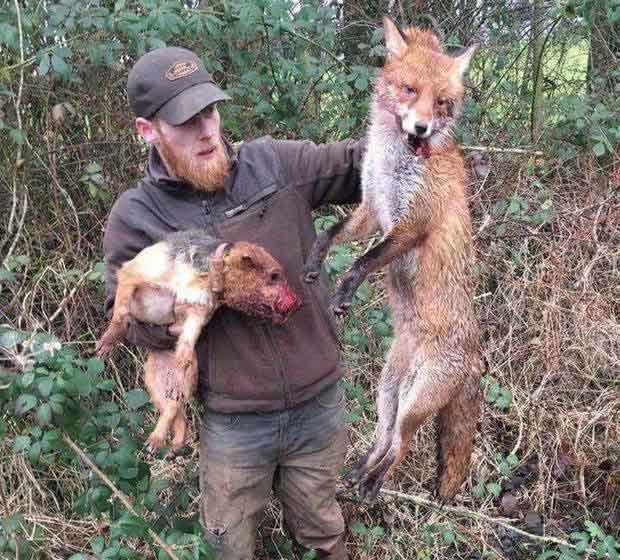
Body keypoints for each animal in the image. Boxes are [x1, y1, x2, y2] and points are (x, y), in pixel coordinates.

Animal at [95, 230, 302, 452]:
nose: (298, 303)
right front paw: (104, 346)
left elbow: (185, 351)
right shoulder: (133, 273)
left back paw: (164, 442)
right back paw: (164, 443)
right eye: (274, 276)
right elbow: (120, 313)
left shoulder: (196, 315)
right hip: (151, 382)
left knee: (176, 412)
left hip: (186, 380)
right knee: (174, 414)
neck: (205, 277)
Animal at [306, 17, 484, 498]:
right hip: (389, 392)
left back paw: (374, 483)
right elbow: (332, 234)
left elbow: (364, 261)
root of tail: (475, 356)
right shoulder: (372, 208)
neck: (393, 163)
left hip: (416, 400)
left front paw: (343, 293)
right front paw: (313, 261)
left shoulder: (412, 225)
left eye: (442, 102)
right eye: (408, 90)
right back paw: (360, 473)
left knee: (402, 446)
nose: (421, 128)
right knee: (384, 438)